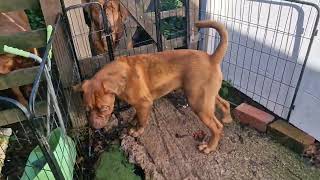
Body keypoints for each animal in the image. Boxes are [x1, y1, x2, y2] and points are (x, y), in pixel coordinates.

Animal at [75, 20, 230, 154]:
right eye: (87, 109)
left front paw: (137, 131)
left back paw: (209, 147)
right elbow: (137, 115)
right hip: (207, 95)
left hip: (198, 102)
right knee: (225, 104)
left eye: (104, 108)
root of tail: (212, 57)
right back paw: (227, 118)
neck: (120, 74)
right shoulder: (139, 105)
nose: (94, 127)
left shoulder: (144, 103)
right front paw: (133, 121)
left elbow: (142, 120)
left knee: (217, 127)